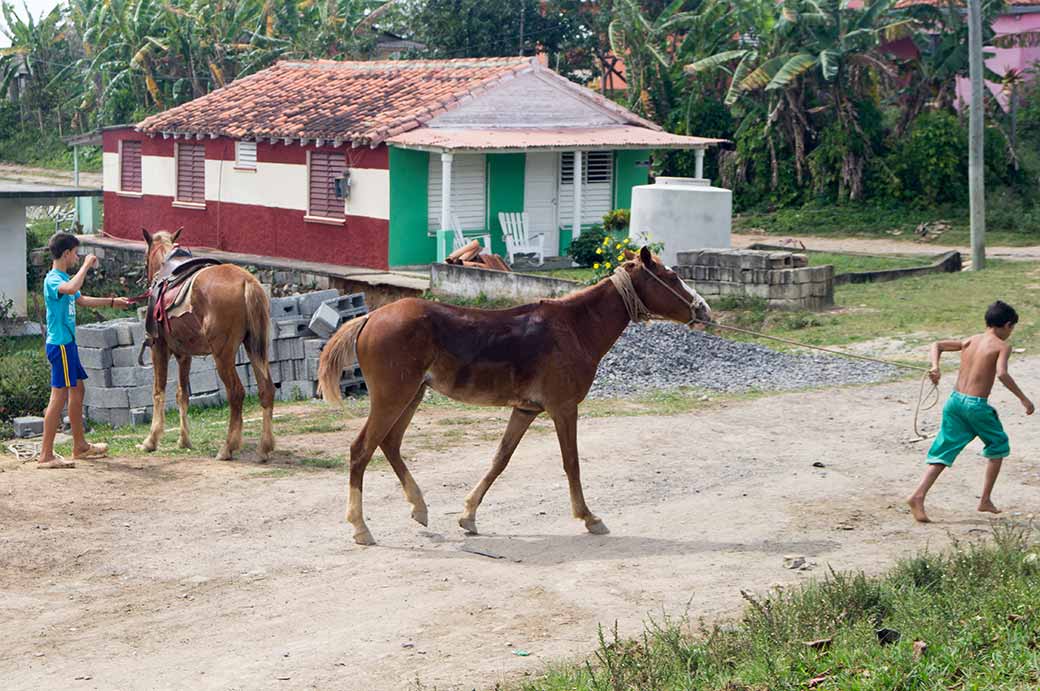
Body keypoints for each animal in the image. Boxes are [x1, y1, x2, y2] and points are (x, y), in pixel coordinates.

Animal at [139, 228, 276, 462]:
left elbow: (158, 391)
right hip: (255, 347)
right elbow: (182, 394)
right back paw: (263, 448)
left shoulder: (159, 347)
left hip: (222, 354)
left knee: (236, 393)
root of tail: (246, 282)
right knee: (266, 389)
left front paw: (151, 440)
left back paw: (228, 447)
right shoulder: (184, 355)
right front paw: (184, 440)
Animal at [314, 246, 707, 545]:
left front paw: (468, 515)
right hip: (393, 397)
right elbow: (571, 463)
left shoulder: (526, 410)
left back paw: (419, 507)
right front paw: (589, 517)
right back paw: (361, 527)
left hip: (411, 396)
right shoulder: (564, 408)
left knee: (390, 444)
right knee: (361, 449)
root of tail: (371, 318)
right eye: (671, 277)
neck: (574, 327)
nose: (702, 308)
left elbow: (500, 460)